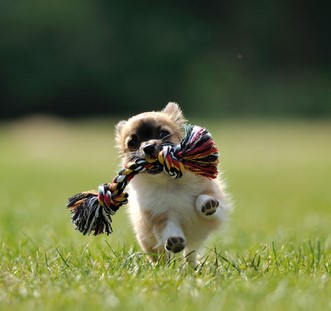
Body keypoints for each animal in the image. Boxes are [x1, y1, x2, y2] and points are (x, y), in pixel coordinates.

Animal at [115, 103, 231, 266]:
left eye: (163, 133)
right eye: (132, 143)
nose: (148, 147)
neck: (169, 181)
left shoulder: (215, 204)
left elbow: (203, 197)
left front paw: (206, 203)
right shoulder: (159, 215)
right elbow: (169, 229)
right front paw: (174, 241)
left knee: (190, 253)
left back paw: (193, 267)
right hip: (148, 243)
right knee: (162, 256)